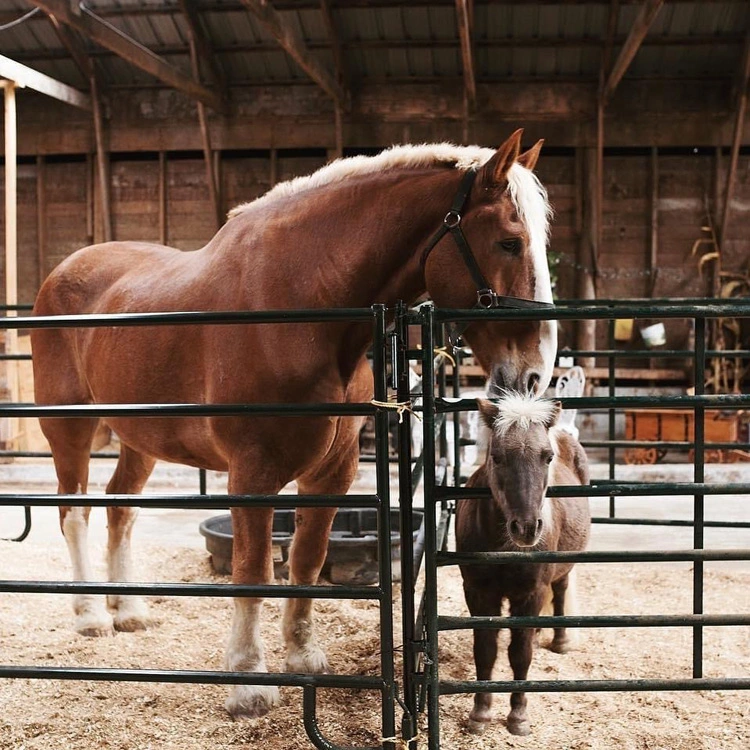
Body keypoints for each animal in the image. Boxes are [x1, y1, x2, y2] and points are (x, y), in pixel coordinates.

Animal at [29, 131, 560, 724]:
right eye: (510, 243)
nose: (535, 373)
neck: (301, 303)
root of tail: (64, 272)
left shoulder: (332, 472)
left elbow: (305, 560)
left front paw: (302, 654)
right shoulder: (252, 475)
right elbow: (254, 568)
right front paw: (247, 680)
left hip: (140, 438)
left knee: (120, 508)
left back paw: (127, 609)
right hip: (69, 429)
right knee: (74, 510)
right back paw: (90, 614)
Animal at [456, 396, 592, 736]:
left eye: (547, 457)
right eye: (497, 456)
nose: (528, 528)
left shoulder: (530, 594)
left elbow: (520, 654)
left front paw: (518, 716)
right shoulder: (478, 594)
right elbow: (485, 650)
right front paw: (480, 713)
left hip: (563, 569)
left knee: (561, 590)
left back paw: (561, 640)